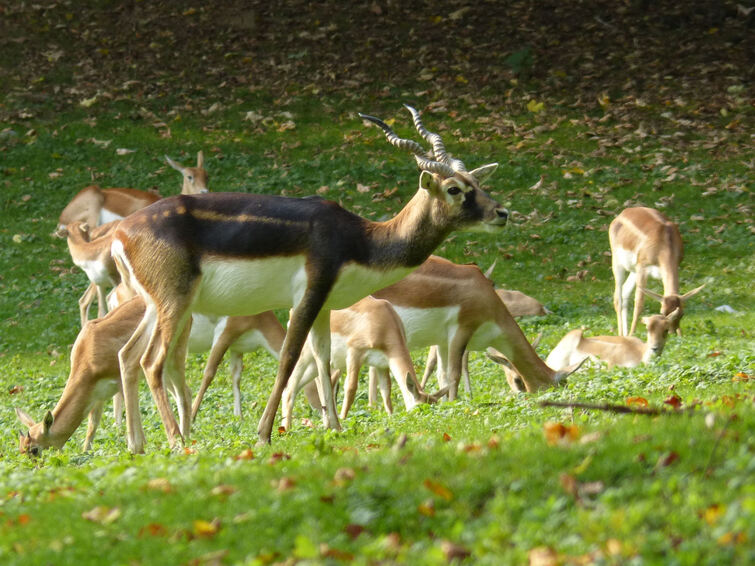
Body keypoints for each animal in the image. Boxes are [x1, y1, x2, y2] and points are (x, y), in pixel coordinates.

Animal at [110, 105, 508, 452]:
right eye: (454, 189)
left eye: (476, 182)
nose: (501, 213)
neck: (359, 239)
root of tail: (120, 233)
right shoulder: (307, 297)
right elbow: (289, 358)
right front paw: (264, 435)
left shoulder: (324, 305)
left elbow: (322, 358)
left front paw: (334, 427)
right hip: (175, 303)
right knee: (151, 362)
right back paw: (177, 442)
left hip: (154, 306)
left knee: (128, 356)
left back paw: (136, 445)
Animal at [604, 207, 704, 338]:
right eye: (662, 312)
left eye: (682, 313)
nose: (672, 333)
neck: (664, 242)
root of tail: (623, 213)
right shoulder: (643, 269)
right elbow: (639, 303)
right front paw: (632, 334)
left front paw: (681, 336)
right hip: (618, 263)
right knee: (617, 297)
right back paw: (622, 334)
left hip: (634, 271)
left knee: (625, 292)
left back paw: (625, 335)